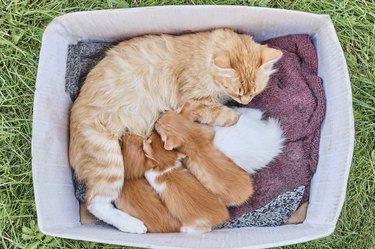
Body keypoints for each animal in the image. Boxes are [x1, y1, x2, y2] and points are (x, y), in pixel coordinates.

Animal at [69, 29, 284, 233]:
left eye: (254, 92)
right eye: (238, 92)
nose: (246, 101)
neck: (203, 57)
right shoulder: (195, 102)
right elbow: (226, 116)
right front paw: (238, 116)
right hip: (107, 159)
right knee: (95, 203)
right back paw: (133, 225)